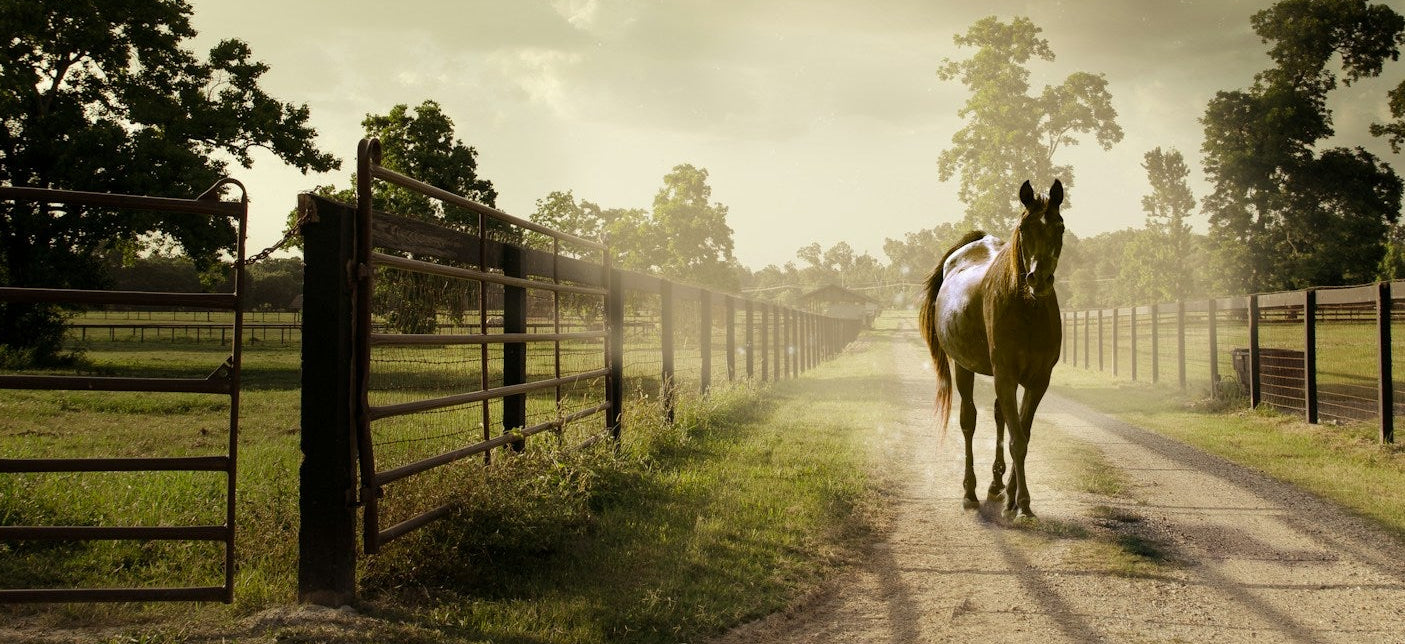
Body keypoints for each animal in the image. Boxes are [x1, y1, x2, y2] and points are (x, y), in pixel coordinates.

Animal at [918, 179, 1064, 518]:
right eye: (1024, 228)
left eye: (1060, 227)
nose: (1038, 279)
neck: (1027, 310)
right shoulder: (1006, 376)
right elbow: (1017, 440)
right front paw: (1022, 504)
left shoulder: (1038, 380)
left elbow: (1022, 433)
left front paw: (1012, 497)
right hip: (964, 368)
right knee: (968, 422)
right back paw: (970, 492)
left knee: (999, 417)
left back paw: (995, 486)